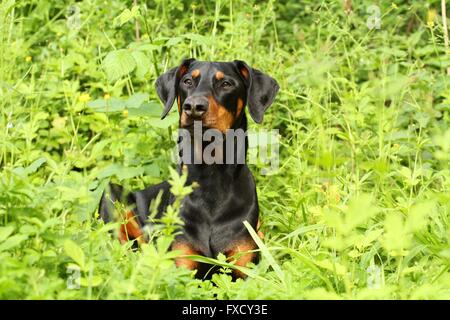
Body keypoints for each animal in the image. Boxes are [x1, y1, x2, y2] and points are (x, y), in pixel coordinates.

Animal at [100, 58, 280, 278]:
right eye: (187, 81)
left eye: (226, 84)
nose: (194, 106)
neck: (211, 177)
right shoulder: (183, 265)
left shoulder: (245, 269)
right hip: (111, 194)